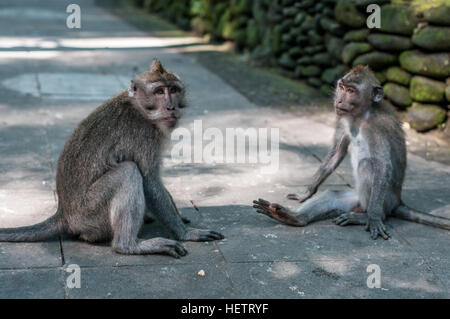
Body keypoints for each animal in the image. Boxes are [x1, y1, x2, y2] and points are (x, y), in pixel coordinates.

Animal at [0, 60, 224, 258]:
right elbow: (150, 182)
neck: (140, 108)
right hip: (89, 214)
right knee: (128, 171)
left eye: (174, 90)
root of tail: (63, 214)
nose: (171, 107)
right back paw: (129, 245)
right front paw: (185, 233)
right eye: (160, 92)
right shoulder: (144, 135)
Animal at [253, 65, 450, 240]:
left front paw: (374, 219)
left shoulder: (379, 126)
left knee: (367, 165)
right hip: (355, 199)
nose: (339, 101)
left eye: (351, 91)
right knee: (331, 196)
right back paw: (292, 217)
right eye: (341, 87)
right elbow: (336, 152)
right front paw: (306, 193)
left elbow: (382, 165)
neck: (361, 115)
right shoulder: (342, 119)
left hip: (383, 201)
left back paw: (367, 217)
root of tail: (398, 201)